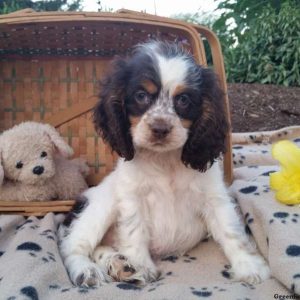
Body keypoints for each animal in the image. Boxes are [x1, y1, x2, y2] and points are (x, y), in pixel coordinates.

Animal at [58, 39, 270, 286]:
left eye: (183, 100)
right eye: (141, 96)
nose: (160, 128)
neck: (164, 160)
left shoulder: (214, 197)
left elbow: (231, 231)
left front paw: (249, 266)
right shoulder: (132, 198)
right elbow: (134, 231)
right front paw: (142, 265)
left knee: (99, 248)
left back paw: (120, 265)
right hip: (100, 207)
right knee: (72, 247)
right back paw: (89, 271)